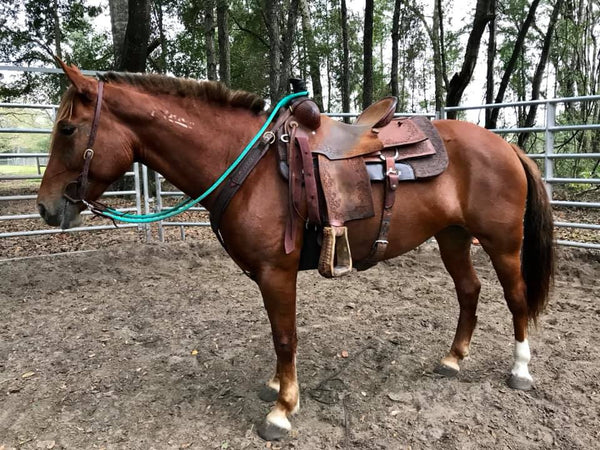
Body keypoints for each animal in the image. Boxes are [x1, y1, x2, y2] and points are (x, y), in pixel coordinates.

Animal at [37, 63, 552, 440]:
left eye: (67, 129)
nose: (45, 207)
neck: (247, 163)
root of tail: (505, 145)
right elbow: (277, 335)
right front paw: (276, 387)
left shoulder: (276, 272)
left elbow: (285, 336)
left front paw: (283, 410)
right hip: (453, 237)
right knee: (469, 291)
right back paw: (453, 359)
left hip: (503, 244)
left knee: (516, 298)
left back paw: (520, 370)